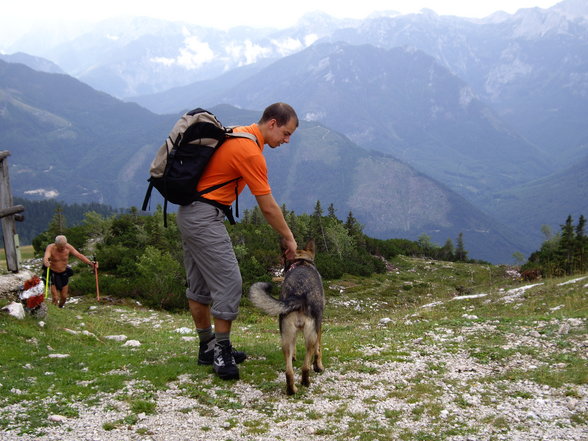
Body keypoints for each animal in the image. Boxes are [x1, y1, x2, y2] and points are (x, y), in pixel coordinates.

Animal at [249, 239, 326, 394]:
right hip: (311, 335)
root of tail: (298, 295)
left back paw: (292, 389)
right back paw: (305, 382)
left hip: (286, 336)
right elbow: (318, 350)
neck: (301, 261)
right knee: (305, 365)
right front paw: (318, 366)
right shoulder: (319, 327)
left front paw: (295, 357)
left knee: (288, 371)